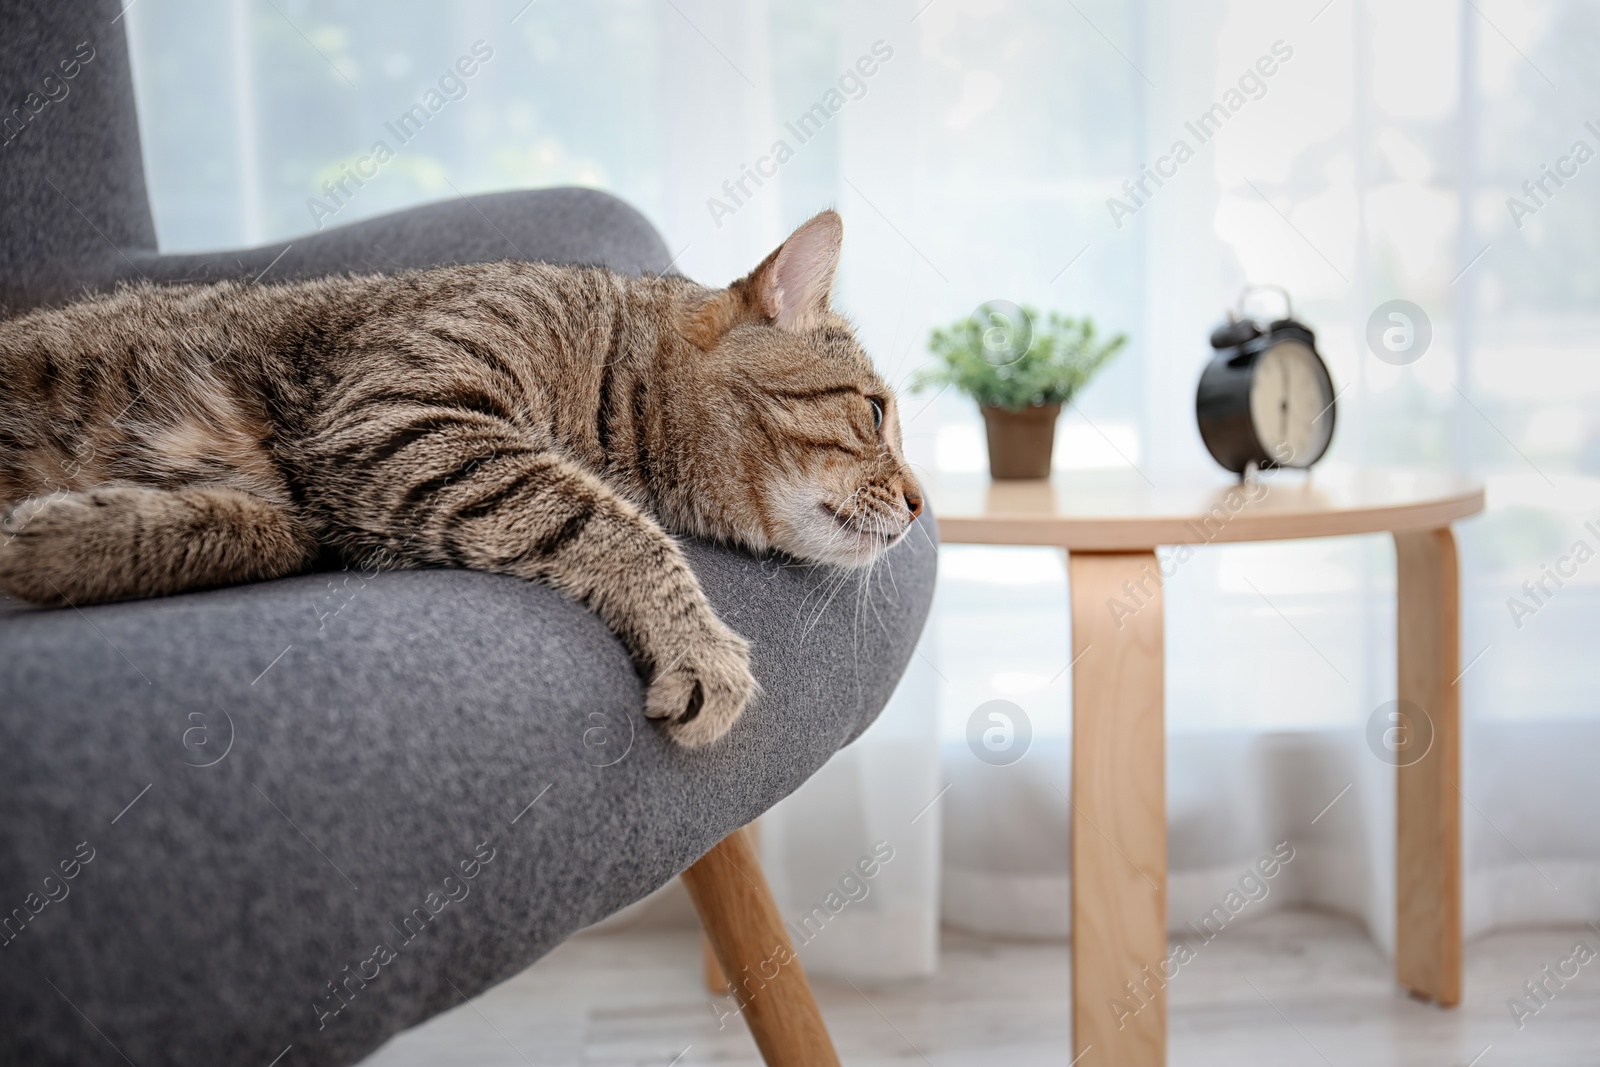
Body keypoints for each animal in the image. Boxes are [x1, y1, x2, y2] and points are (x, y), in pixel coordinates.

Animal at [0, 206, 928, 742]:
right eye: (876, 413)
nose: (922, 504)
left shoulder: (331, 495)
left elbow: (248, 527)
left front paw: (73, 537)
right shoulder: (398, 410)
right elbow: (609, 519)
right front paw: (697, 639)